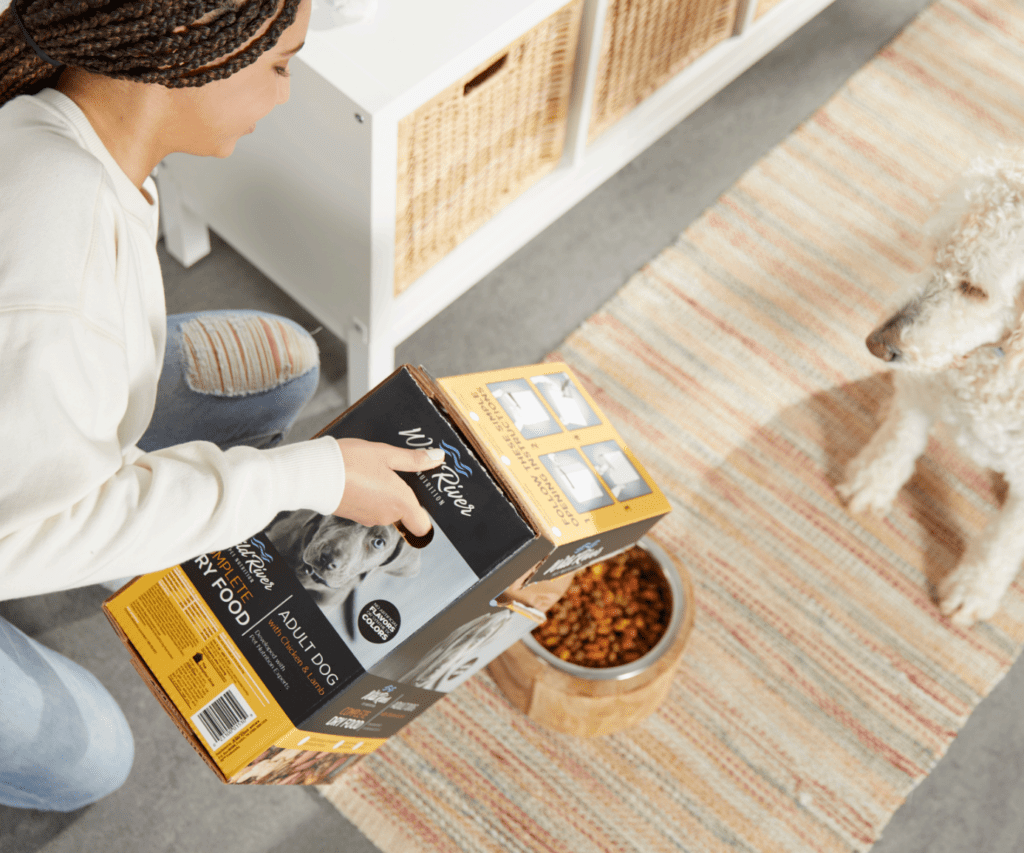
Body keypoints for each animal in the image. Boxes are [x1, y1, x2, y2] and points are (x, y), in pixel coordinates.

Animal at [835, 151, 1024, 626]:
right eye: (937, 250)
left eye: (975, 289)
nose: (876, 345)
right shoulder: (923, 387)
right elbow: (900, 436)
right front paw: (872, 481)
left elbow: (1005, 538)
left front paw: (974, 588)